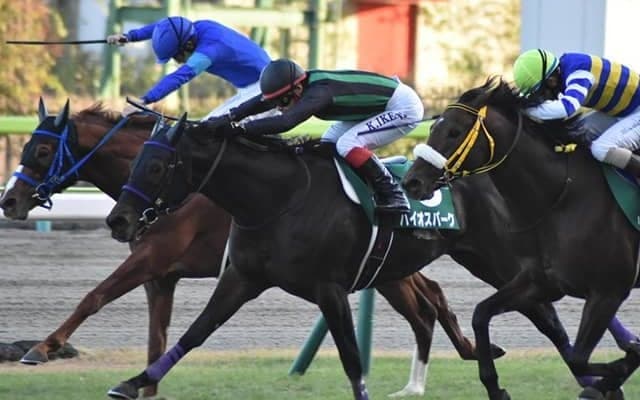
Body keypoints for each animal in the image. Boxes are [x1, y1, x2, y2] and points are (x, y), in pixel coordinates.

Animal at [0, 99, 496, 398]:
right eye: (26, 147)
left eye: (41, 151)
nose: (9, 201)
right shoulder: (164, 277)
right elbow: (159, 337)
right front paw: (144, 384)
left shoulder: (152, 260)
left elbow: (94, 296)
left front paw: (40, 348)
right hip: (388, 270)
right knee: (428, 302)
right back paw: (451, 362)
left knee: (429, 302)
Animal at [104, 115, 636, 400]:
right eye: (137, 161)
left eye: (156, 165)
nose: (119, 221)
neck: (277, 198)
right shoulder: (242, 278)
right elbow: (196, 333)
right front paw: (131, 382)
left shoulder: (330, 288)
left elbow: (351, 358)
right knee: (530, 313)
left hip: (499, 260)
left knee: (548, 314)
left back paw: (603, 370)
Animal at [401, 76, 640, 400]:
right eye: (433, 128)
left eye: (454, 131)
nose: (411, 182)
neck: (562, 197)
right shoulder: (542, 282)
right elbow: (481, 314)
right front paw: (495, 387)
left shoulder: (608, 291)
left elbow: (581, 358)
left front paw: (611, 375)